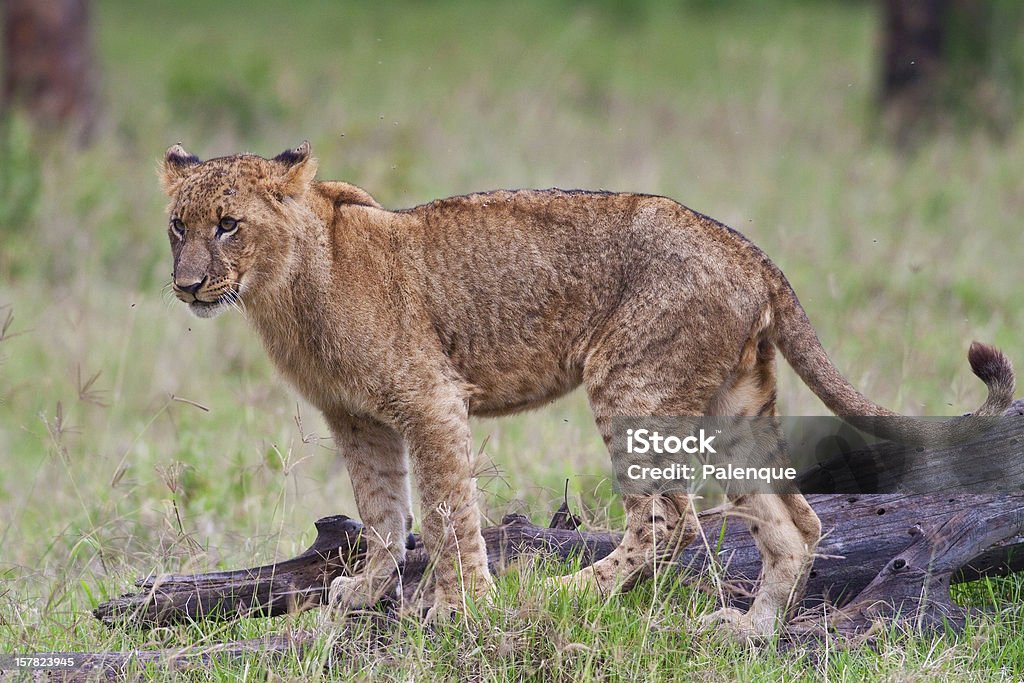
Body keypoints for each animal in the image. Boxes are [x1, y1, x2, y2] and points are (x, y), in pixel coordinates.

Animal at [161, 141, 1015, 638]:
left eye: (229, 224)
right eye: (179, 224)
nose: (186, 285)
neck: (286, 288)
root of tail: (742, 246)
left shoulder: (432, 400)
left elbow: (447, 513)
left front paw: (461, 605)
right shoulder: (359, 420)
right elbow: (383, 513)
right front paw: (369, 590)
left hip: (628, 382)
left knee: (668, 521)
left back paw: (568, 592)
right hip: (735, 405)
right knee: (793, 522)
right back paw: (751, 630)